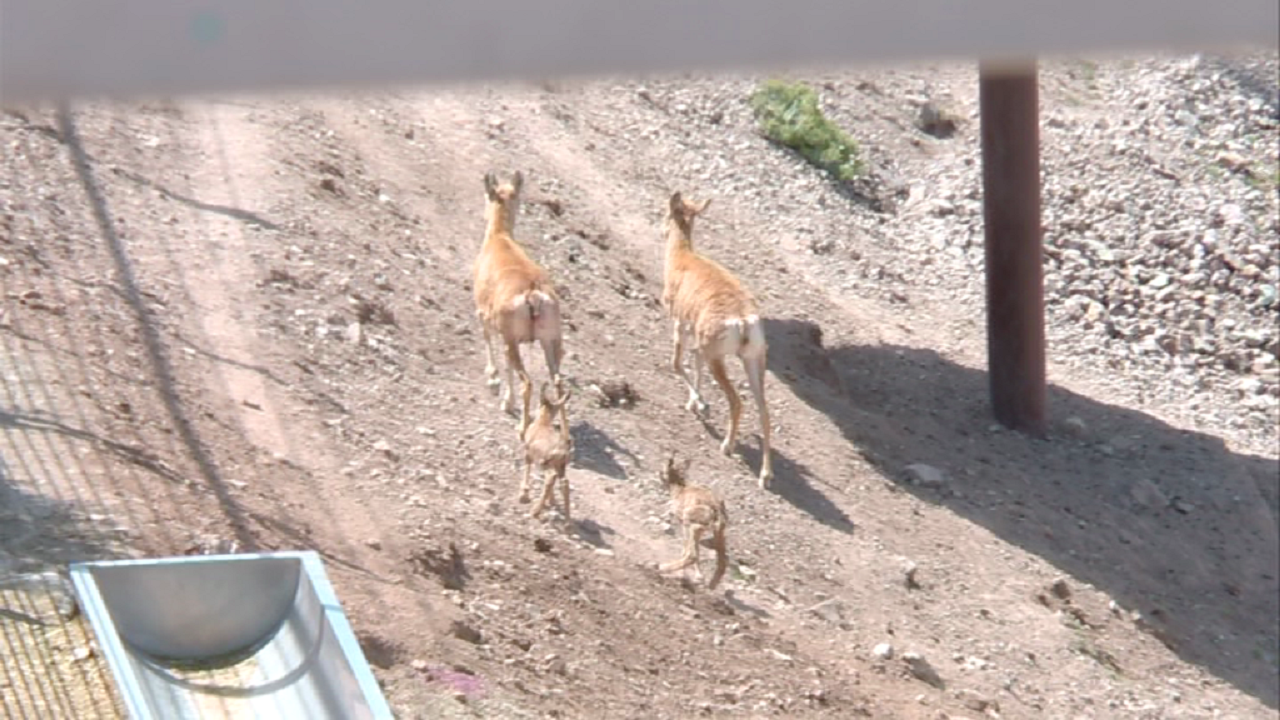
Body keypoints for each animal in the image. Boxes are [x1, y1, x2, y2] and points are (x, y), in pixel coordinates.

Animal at [476, 170, 565, 435]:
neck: (500, 239)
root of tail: (533, 295)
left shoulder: (486, 318)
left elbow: (489, 342)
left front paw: (494, 382)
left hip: (515, 342)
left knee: (528, 382)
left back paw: (522, 428)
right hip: (549, 341)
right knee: (558, 383)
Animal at [665, 192, 773, 486]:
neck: (684, 259)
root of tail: (744, 321)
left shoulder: (680, 326)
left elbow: (677, 364)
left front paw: (702, 404)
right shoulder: (699, 342)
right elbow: (694, 364)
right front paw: (694, 404)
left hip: (720, 360)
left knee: (737, 401)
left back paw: (727, 447)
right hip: (753, 363)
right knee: (764, 410)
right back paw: (765, 475)